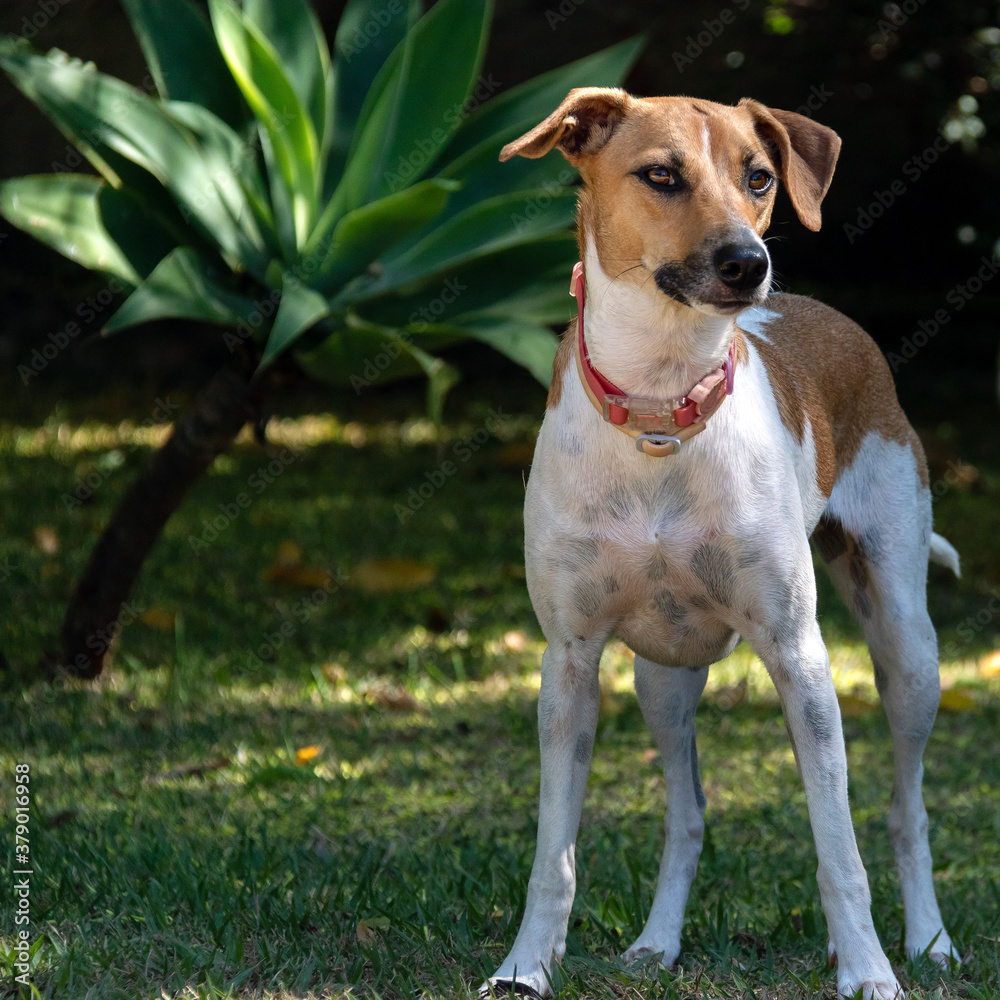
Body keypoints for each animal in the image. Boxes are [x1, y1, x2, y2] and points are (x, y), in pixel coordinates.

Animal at [484, 88, 960, 1000]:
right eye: (660, 175)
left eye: (760, 176)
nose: (749, 262)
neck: (661, 411)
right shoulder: (569, 660)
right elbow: (554, 855)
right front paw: (525, 967)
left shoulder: (800, 655)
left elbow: (839, 850)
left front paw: (868, 970)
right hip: (661, 680)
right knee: (689, 814)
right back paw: (657, 942)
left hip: (908, 644)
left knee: (906, 810)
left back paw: (927, 940)